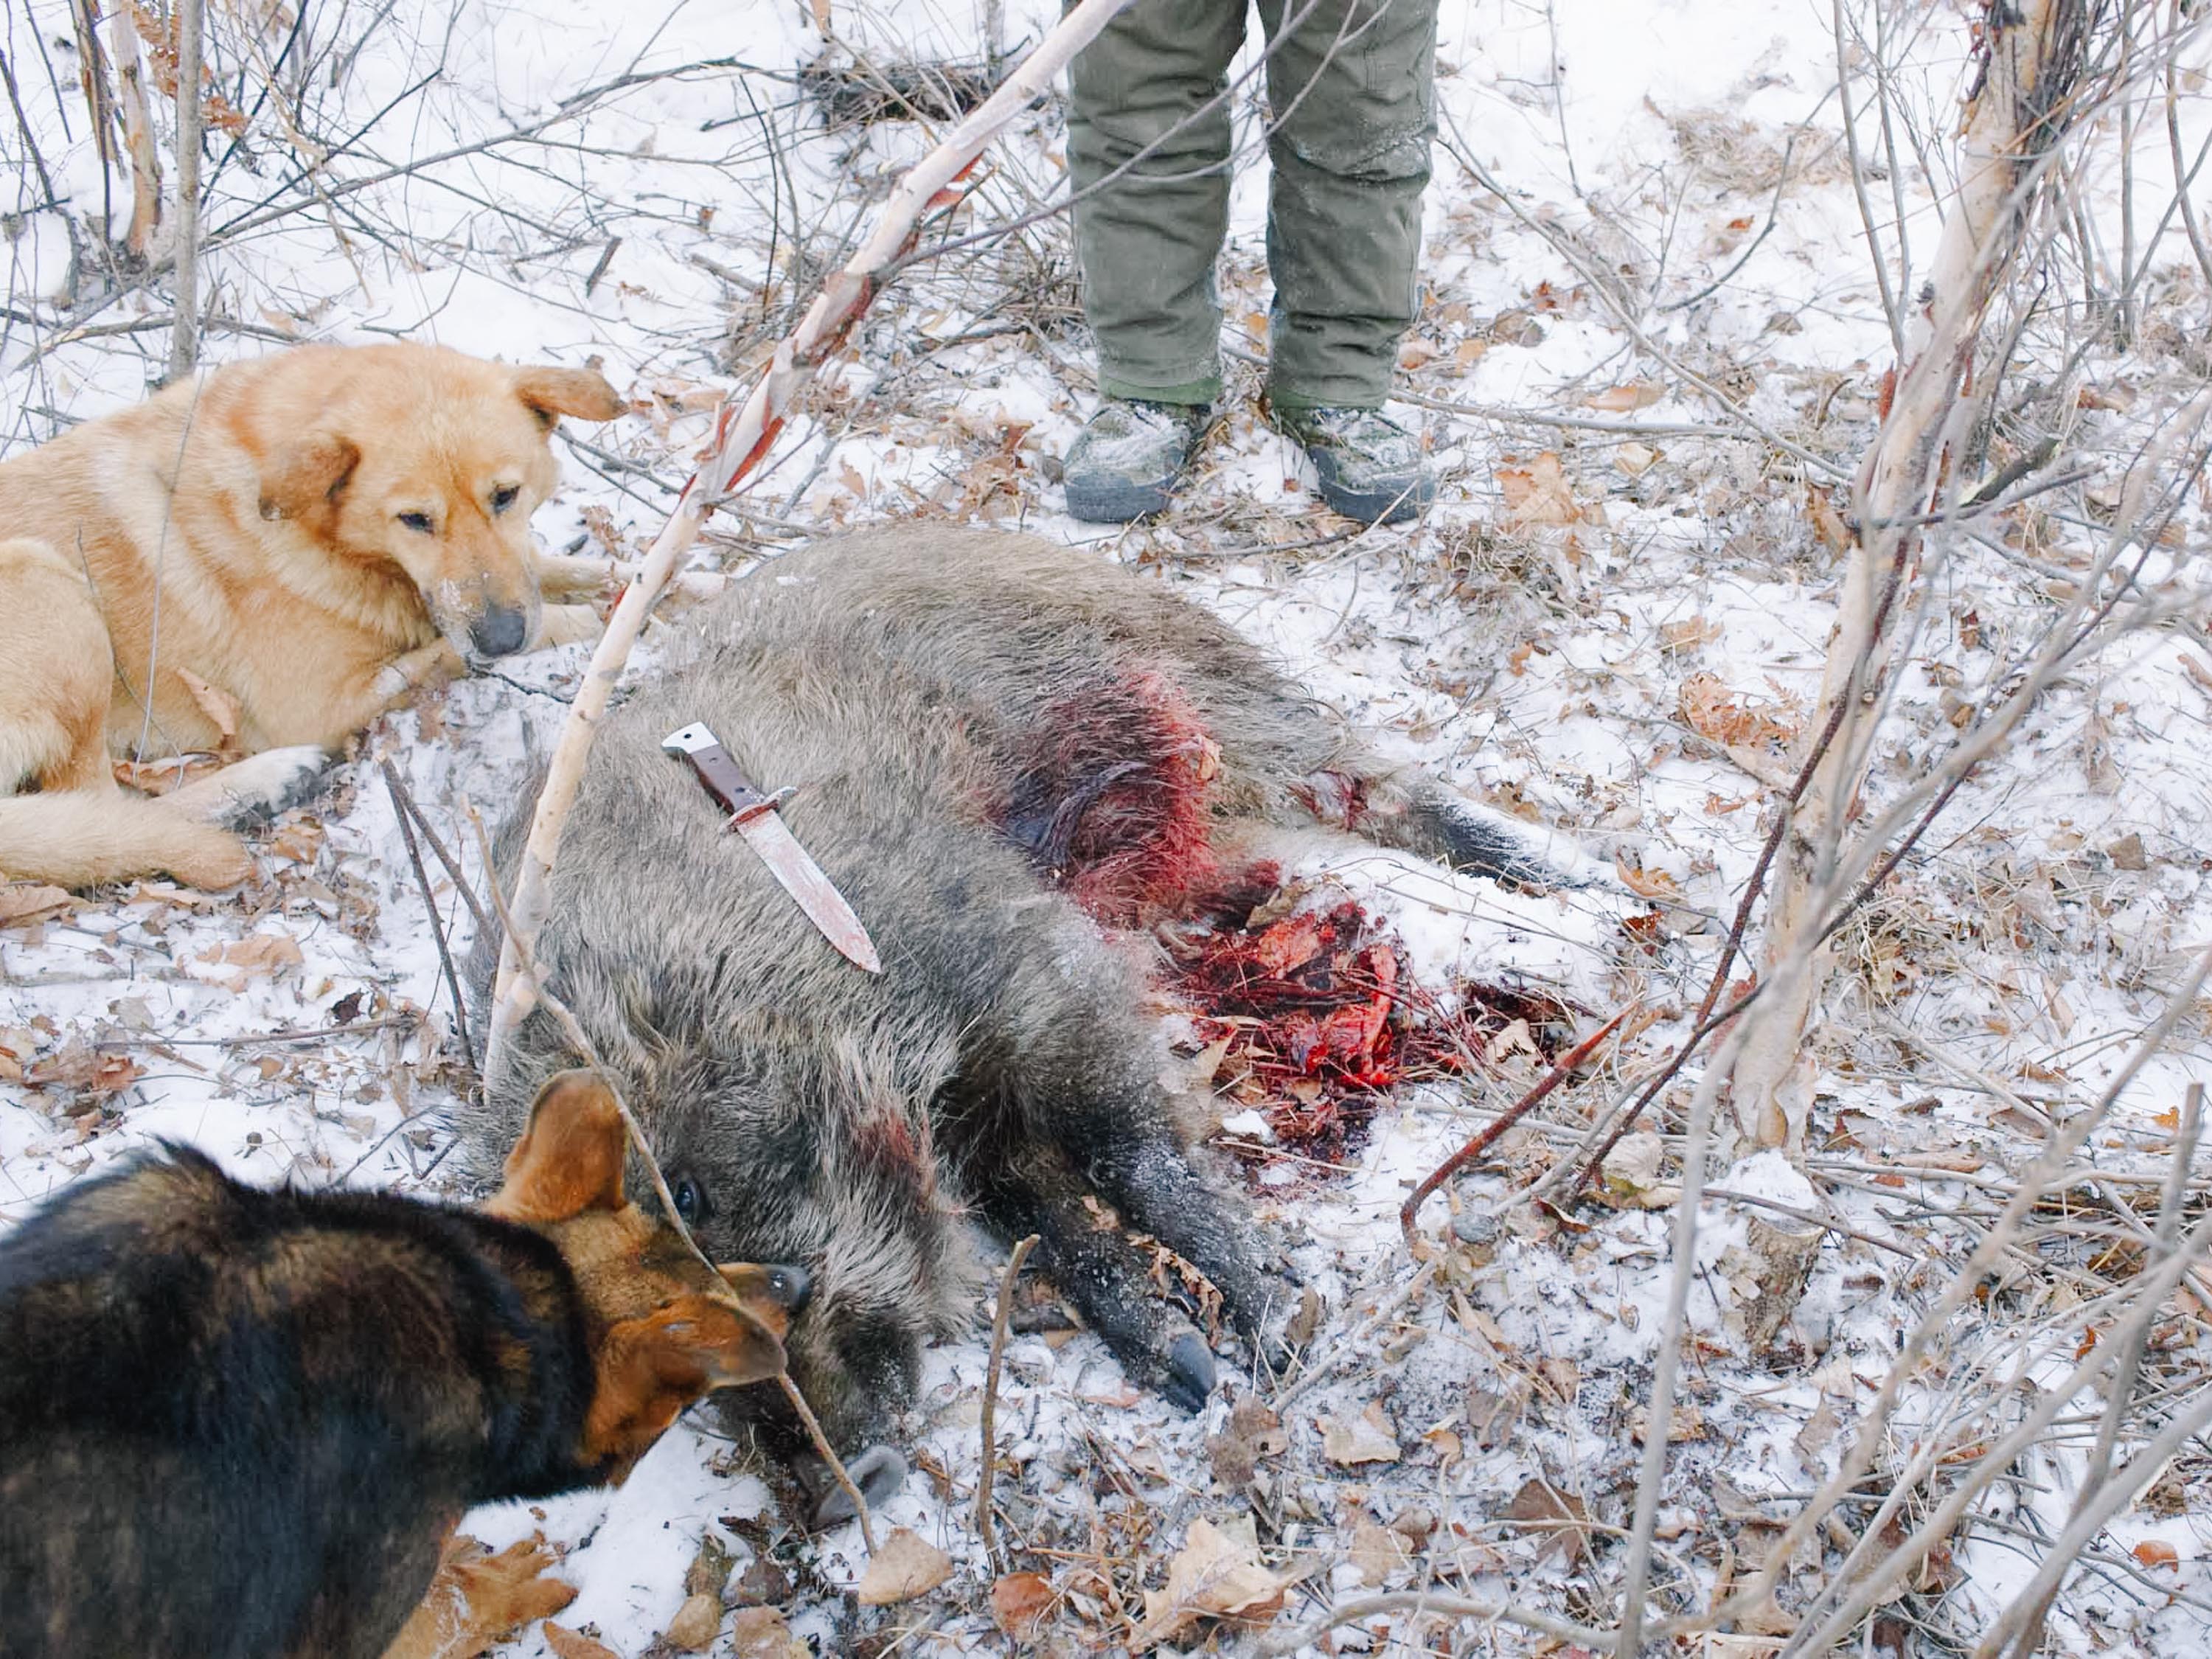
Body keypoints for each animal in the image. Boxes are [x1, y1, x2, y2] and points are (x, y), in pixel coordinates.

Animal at [0, 338, 628, 902]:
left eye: (505, 495)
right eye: (414, 519)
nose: (501, 638)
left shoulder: (518, 577)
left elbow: (577, 572)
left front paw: (642, 592)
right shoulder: (318, 706)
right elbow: (456, 650)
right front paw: (596, 628)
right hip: (47, 582)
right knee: (97, 803)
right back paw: (263, 783)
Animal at [0, 1071, 814, 1655]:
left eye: (702, 1252)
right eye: (685, 1392)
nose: (799, 1284)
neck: (494, 1315)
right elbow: (450, 1608)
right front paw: (503, 1586)